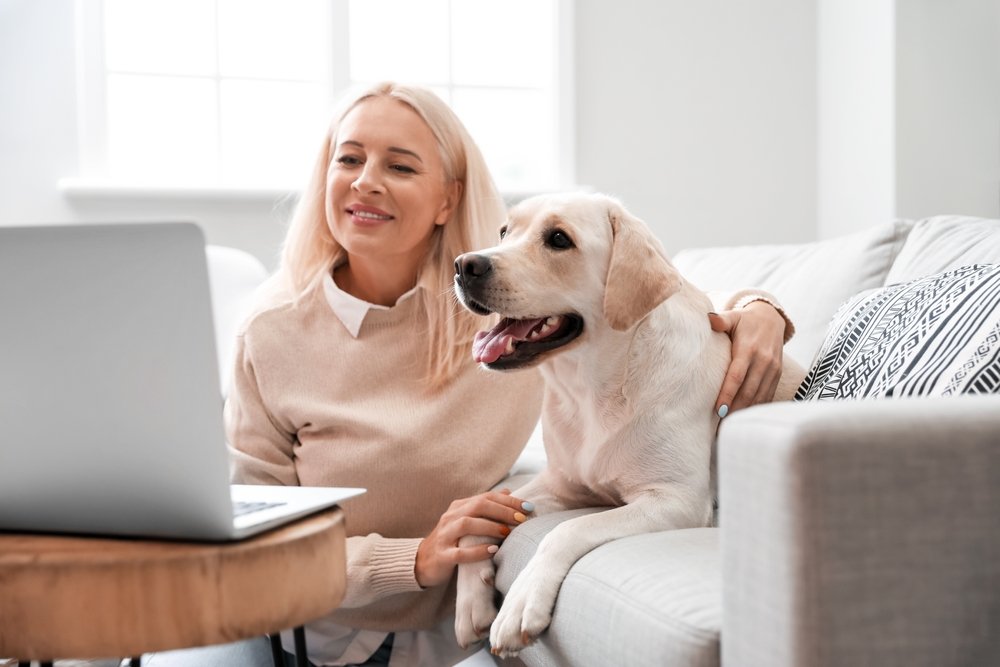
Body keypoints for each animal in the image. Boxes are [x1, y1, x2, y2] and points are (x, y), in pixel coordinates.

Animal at [454, 193, 804, 656]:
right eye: (504, 232)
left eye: (559, 239)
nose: (464, 265)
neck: (595, 387)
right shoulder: (563, 485)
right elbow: (474, 515)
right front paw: (470, 604)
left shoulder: (676, 500)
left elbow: (568, 530)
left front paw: (521, 602)